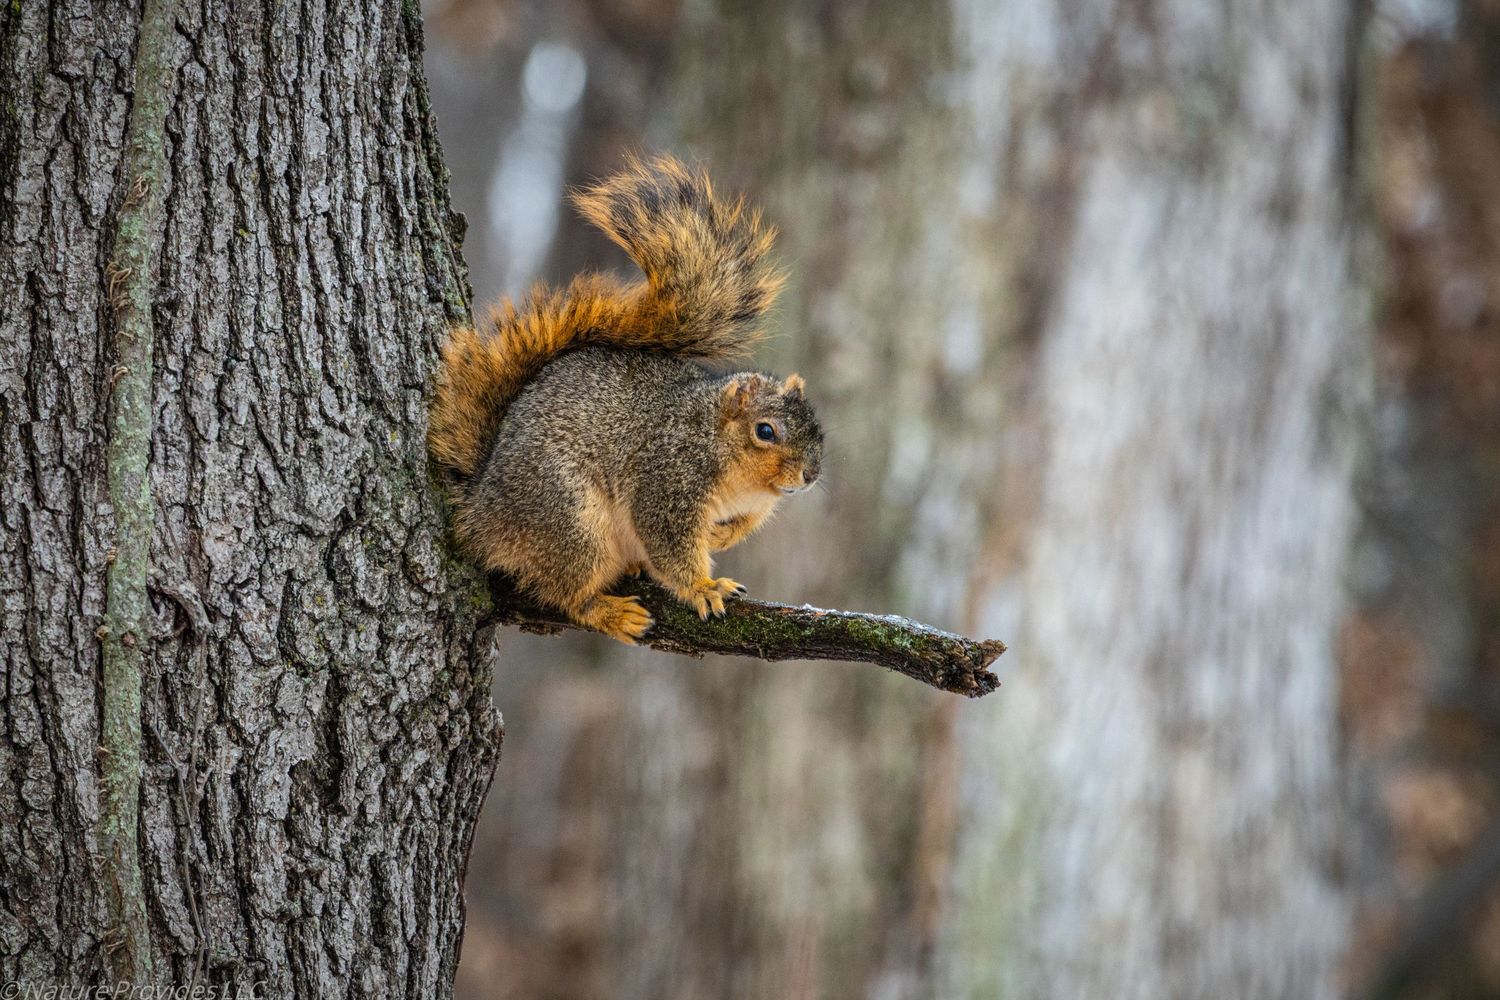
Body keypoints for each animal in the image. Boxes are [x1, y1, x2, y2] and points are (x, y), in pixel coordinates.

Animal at [429, 155, 824, 644]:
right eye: (765, 431)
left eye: (817, 428)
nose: (810, 476)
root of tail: (482, 511)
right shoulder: (665, 481)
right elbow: (669, 544)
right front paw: (704, 587)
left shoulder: (753, 506)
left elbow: (741, 527)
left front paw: (719, 540)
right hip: (570, 522)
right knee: (565, 593)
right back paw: (611, 613)